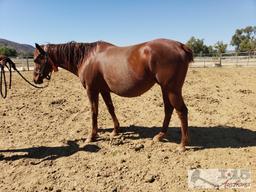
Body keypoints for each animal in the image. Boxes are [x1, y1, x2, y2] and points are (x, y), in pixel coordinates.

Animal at [34, 39, 193, 152]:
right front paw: (115, 131)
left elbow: (94, 112)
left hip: (172, 89)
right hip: (165, 89)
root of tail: (180, 46)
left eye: (37, 60)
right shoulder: (104, 90)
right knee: (168, 109)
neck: (87, 58)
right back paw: (160, 136)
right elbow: (111, 108)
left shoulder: (92, 90)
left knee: (181, 111)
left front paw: (91, 136)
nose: (35, 79)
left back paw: (182, 145)